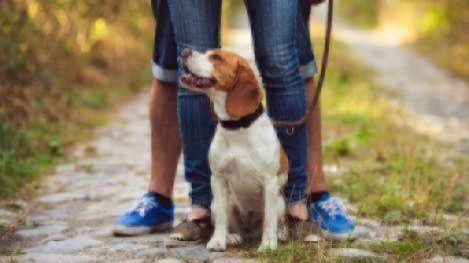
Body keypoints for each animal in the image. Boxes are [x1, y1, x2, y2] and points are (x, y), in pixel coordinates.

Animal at [180, 48, 288, 253]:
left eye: (216, 57)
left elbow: (269, 219)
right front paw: (218, 241)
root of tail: (250, 232)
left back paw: (279, 235)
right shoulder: (218, 178)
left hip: (280, 202)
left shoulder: (270, 181)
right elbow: (222, 218)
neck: (237, 128)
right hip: (218, 203)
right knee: (230, 222)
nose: (184, 51)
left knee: (274, 221)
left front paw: (268, 245)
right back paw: (232, 237)